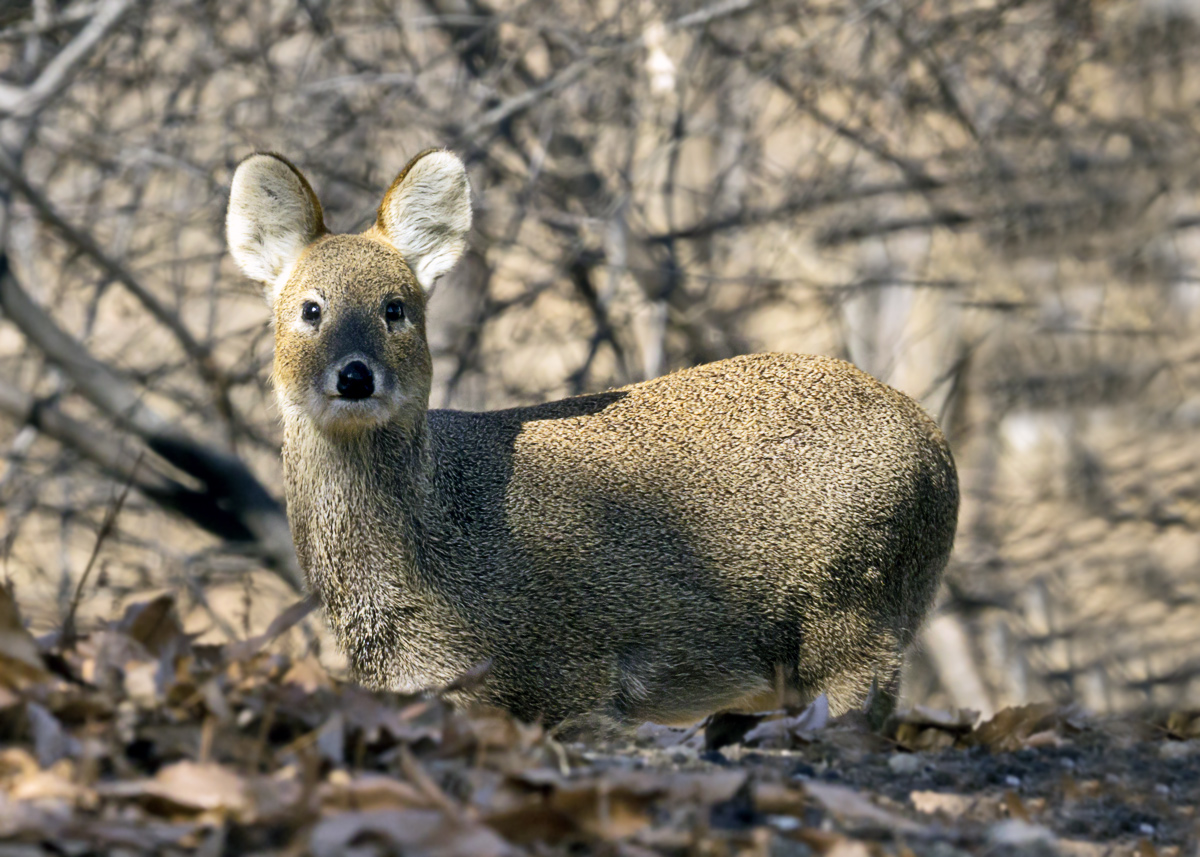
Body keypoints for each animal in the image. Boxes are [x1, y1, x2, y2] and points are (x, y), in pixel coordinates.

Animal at [226, 148, 959, 734]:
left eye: (395, 307)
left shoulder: (565, 673)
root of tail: (936, 446)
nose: (355, 375)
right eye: (310, 308)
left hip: (852, 606)